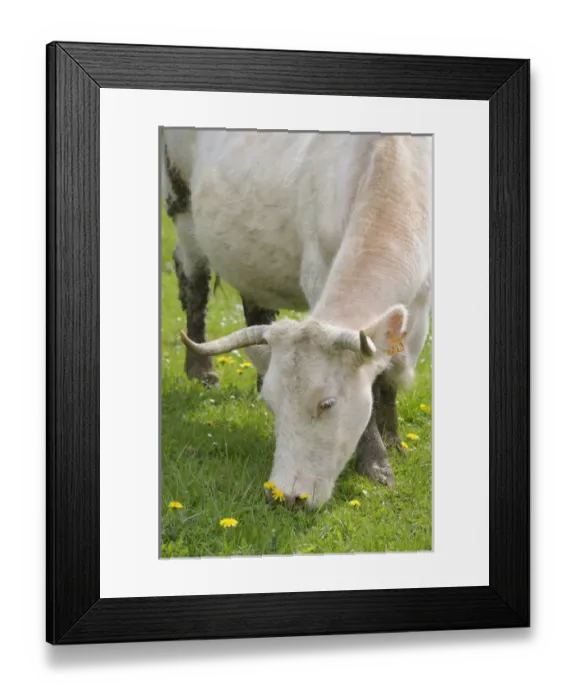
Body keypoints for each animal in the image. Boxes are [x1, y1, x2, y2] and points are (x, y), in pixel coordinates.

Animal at [161, 128, 432, 509]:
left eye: (327, 403)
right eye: (273, 406)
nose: (285, 496)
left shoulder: (422, 305)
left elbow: (389, 377)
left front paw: (392, 443)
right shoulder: (318, 271)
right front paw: (377, 463)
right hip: (180, 204)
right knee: (193, 282)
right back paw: (203, 371)